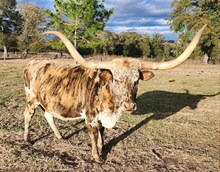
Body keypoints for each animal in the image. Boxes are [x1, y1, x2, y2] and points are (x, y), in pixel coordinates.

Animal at [23, 24, 207, 162]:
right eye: (116, 79)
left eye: (136, 80)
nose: (130, 106)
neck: (110, 105)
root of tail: (32, 62)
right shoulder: (90, 117)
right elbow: (93, 135)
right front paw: (97, 157)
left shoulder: (103, 118)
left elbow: (102, 133)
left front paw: (103, 147)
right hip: (31, 100)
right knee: (28, 115)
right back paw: (27, 139)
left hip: (46, 102)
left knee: (48, 115)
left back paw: (59, 136)